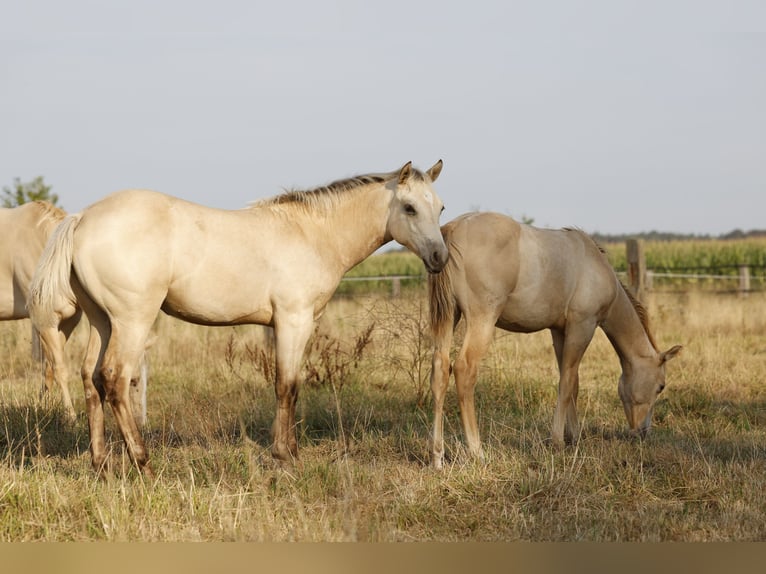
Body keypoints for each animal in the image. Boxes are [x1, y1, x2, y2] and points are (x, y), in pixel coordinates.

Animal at [1, 201, 149, 424]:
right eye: (133, 382)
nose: (142, 422)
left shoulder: (67, 321)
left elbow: (49, 368)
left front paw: (42, 406)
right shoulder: (44, 323)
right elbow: (60, 368)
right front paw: (69, 416)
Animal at [29, 160, 448, 476]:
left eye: (440, 207)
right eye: (409, 208)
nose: (440, 257)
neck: (312, 233)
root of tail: (82, 218)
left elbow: (288, 386)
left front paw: (289, 453)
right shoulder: (294, 321)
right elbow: (287, 386)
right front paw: (285, 458)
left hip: (102, 321)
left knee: (90, 378)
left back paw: (101, 464)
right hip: (132, 321)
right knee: (114, 379)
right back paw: (144, 464)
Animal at [428, 212, 682, 469]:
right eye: (661, 386)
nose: (643, 433)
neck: (594, 265)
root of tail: (454, 228)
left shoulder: (560, 332)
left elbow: (572, 381)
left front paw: (574, 436)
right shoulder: (583, 326)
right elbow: (567, 383)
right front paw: (559, 440)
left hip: (449, 317)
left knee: (440, 369)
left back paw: (437, 456)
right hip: (482, 319)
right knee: (464, 370)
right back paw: (476, 451)